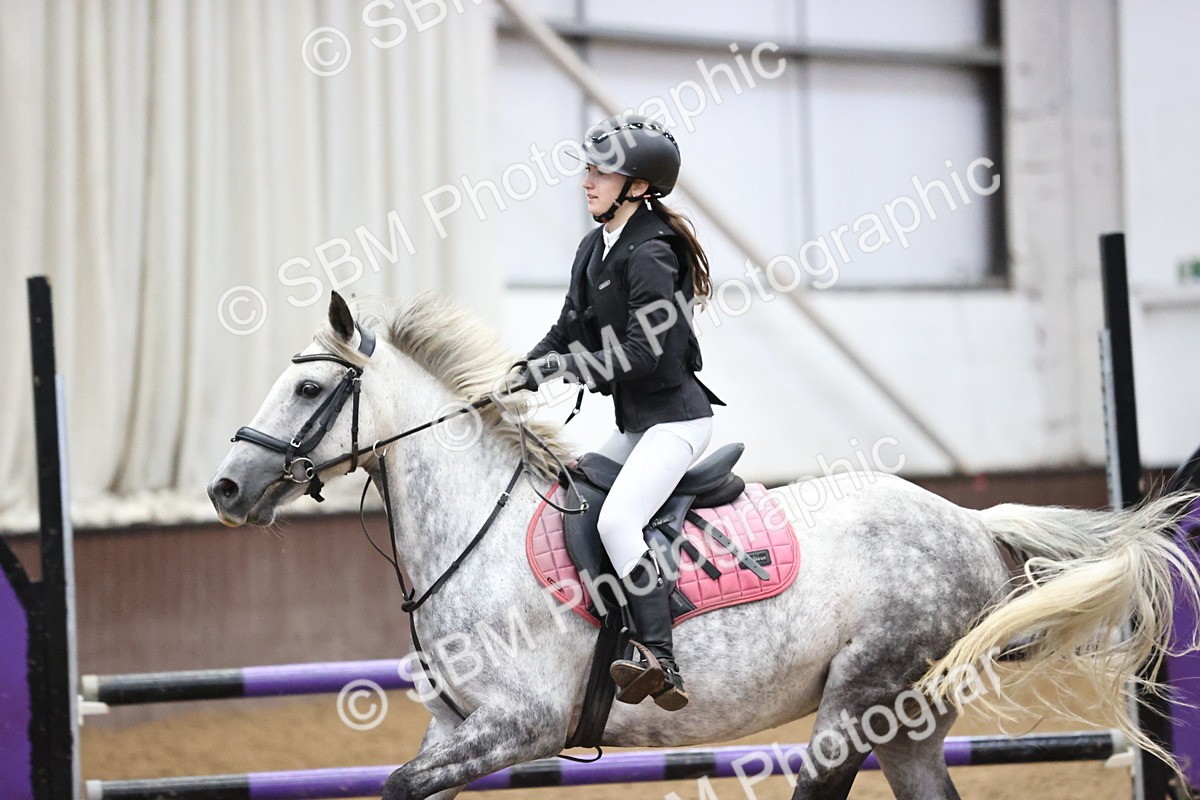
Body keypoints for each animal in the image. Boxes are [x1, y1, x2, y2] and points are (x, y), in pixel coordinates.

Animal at [208, 291, 1200, 800]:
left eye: (306, 390)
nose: (224, 490)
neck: (473, 528)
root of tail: (968, 522)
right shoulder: (457, 729)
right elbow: (410, 784)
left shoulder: (521, 725)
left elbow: (397, 787)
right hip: (911, 726)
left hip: (861, 699)